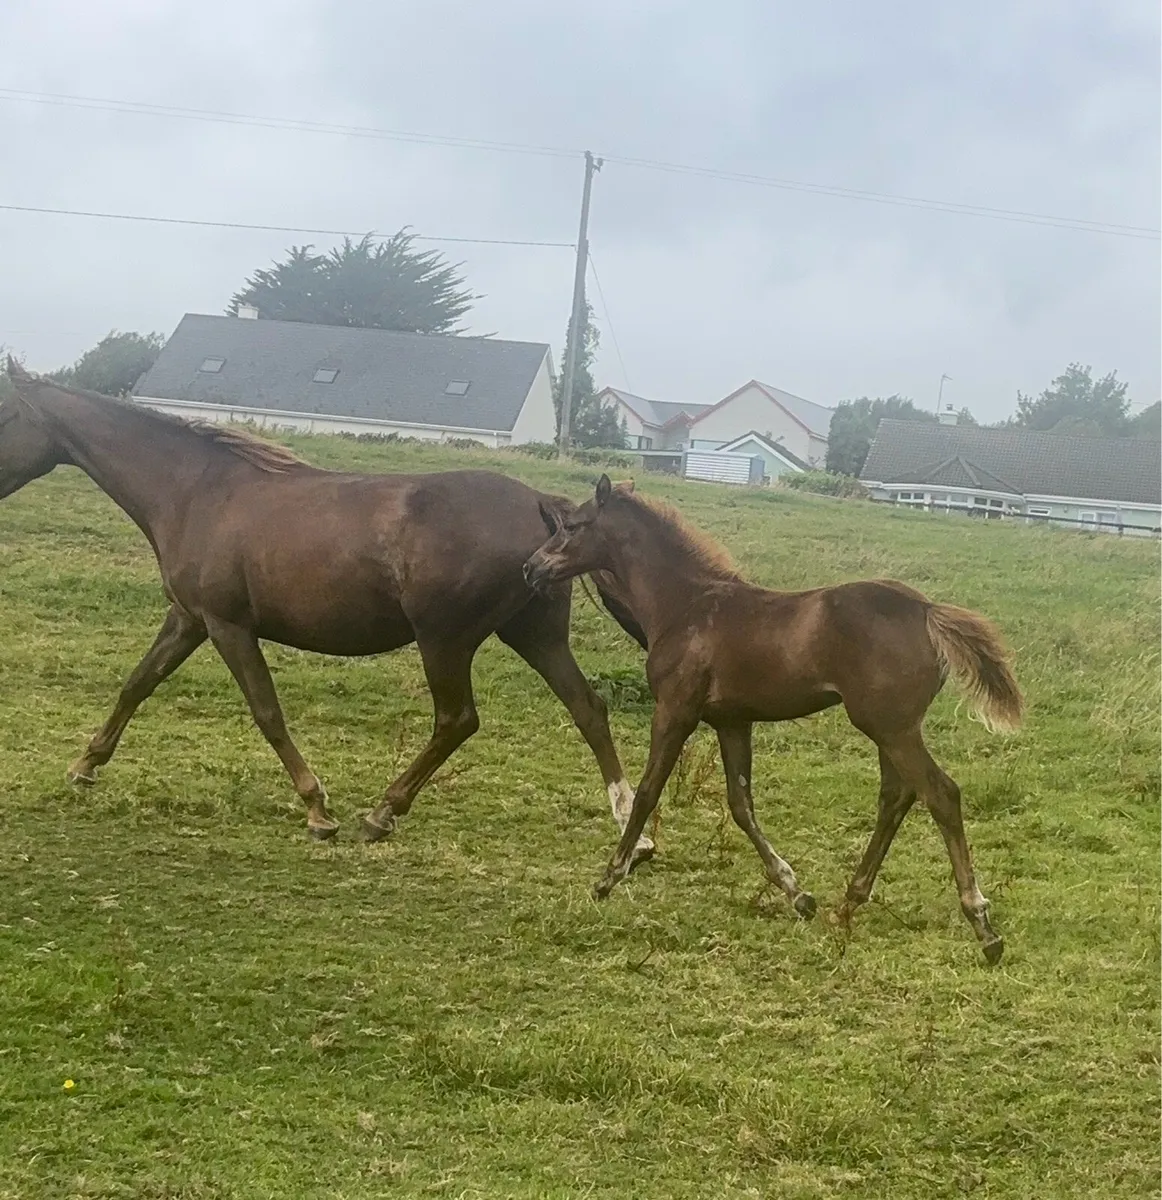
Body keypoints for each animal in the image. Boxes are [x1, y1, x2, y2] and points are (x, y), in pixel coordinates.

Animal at [0, 358, 653, 858]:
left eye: (5, 414)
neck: (197, 491)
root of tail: (543, 507)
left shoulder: (227, 626)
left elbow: (266, 712)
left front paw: (318, 809)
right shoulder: (188, 618)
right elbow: (137, 684)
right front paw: (85, 765)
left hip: (445, 639)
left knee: (457, 720)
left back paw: (381, 813)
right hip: (537, 636)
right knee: (588, 709)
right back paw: (634, 834)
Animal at [523, 474, 1024, 963]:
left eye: (572, 526)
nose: (531, 567)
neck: (686, 604)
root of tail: (927, 611)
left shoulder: (675, 711)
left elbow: (648, 792)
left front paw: (609, 877)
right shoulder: (732, 722)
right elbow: (741, 804)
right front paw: (797, 893)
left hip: (890, 727)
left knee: (940, 794)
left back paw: (983, 926)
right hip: (890, 729)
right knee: (897, 796)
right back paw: (848, 904)